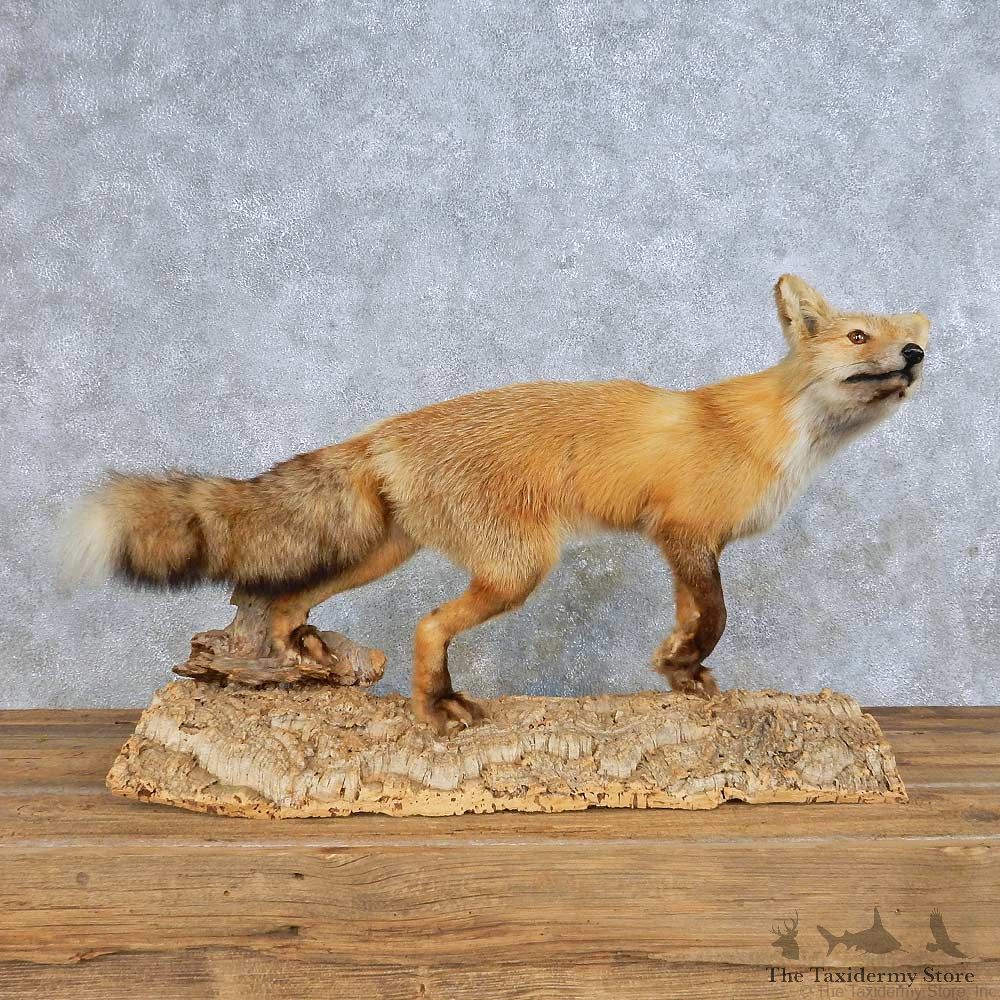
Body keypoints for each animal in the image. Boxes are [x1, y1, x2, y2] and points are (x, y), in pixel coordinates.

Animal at [62, 275, 929, 734]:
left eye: (906, 337)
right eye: (858, 337)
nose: (917, 353)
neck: (775, 432)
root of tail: (386, 429)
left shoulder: (686, 545)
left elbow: (692, 621)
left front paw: (679, 676)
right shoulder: (684, 532)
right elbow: (713, 616)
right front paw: (684, 665)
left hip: (388, 552)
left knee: (286, 602)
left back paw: (301, 663)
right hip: (518, 567)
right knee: (425, 625)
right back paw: (435, 708)